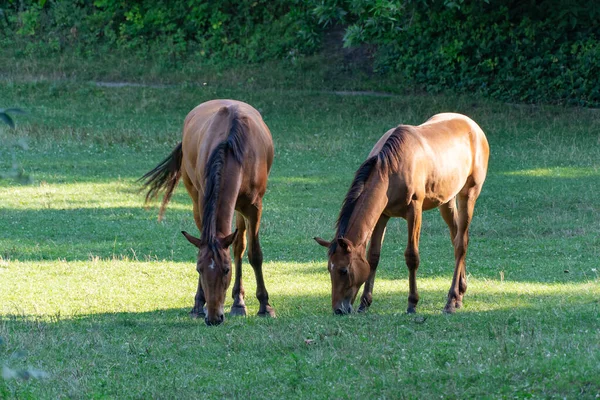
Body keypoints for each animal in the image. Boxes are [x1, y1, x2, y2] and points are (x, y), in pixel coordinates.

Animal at [143, 99, 276, 324]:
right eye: (199, 269)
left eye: (226, 269)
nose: (214, 318)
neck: (233, 150)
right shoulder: (202, 201)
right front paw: (199, 304)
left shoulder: (254, 207)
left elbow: (255, 254)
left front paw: (265, 306)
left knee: (239, 247)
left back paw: (238, 302)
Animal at [314, 112, 488, 316]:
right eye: (329, 268)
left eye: (343, 270)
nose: (339, 310)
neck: (390, 170)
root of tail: (473, 126)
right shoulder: (382, 215)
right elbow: (373, 257)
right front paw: (365, 303)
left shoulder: (414, 211)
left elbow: (412, 257)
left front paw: (412, 303)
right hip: (447, 201)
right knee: (457, 237)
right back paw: (460, 294)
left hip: (468, 194)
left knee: (461, 243)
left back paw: (451, 300)